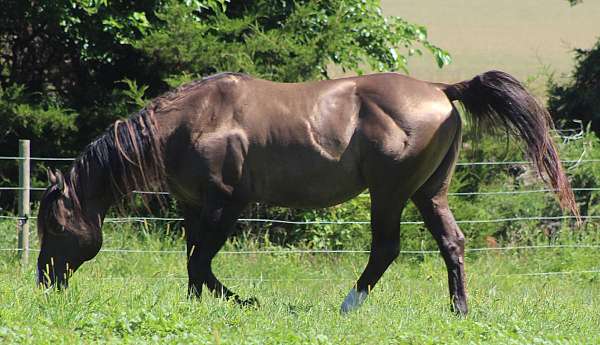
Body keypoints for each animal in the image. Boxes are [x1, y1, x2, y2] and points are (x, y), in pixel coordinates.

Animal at [36, 70, 576, 314]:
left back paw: (349, 305)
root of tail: (441, 90)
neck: (192, 122)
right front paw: (199, 305)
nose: (44, 282)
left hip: (390, 192)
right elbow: (191, 261)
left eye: (55, 225)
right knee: (452, 243)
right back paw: (458, 310)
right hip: (430, 193)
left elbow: (202, 262)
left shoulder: (228, 204)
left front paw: (242, 301)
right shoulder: (194, 205)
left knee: (385, 248)